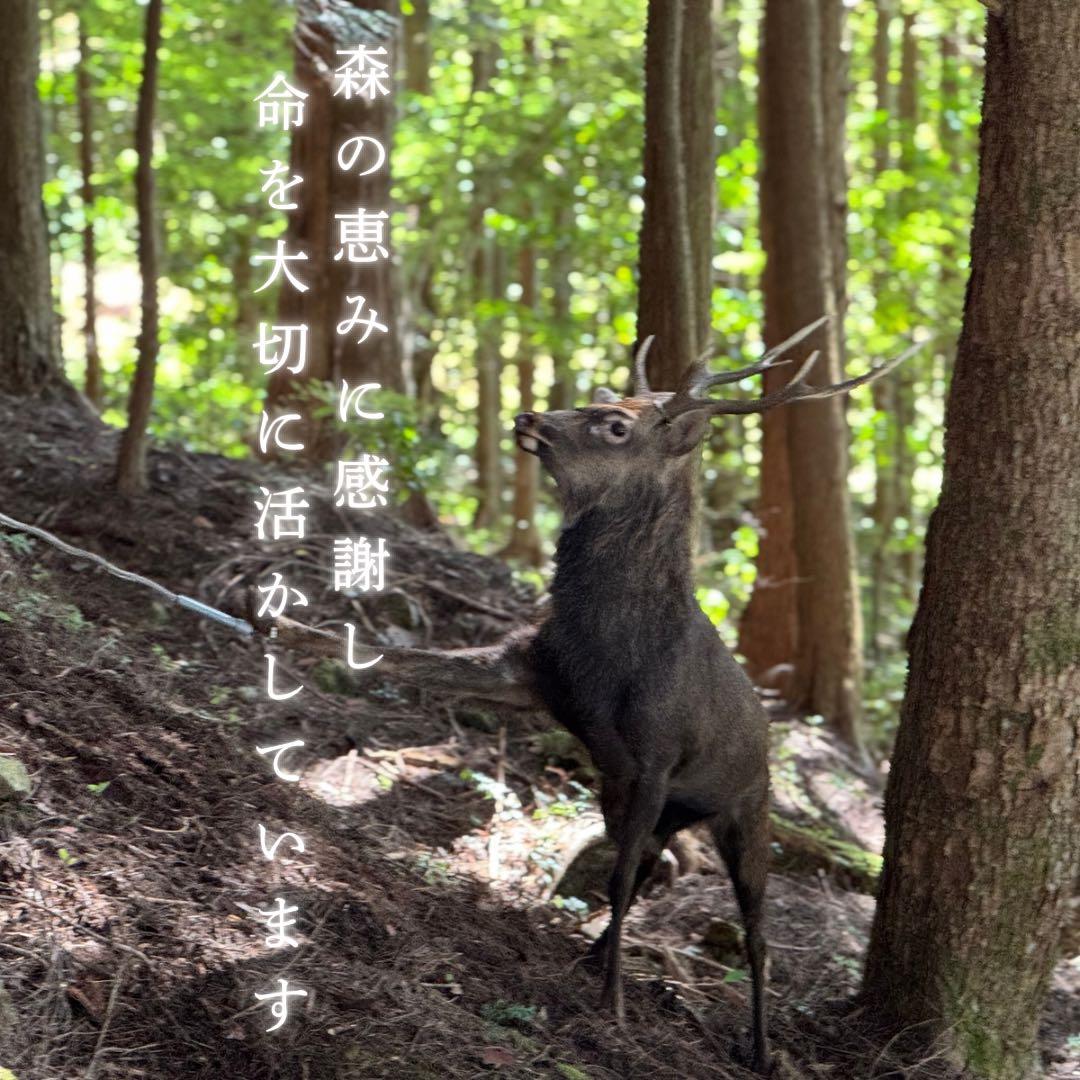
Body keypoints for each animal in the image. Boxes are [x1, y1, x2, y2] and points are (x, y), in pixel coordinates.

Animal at [264, 318, 910, 1076]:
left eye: (614, 426)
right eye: (601, 396)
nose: (529, 417)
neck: (610, 649)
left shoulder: (659, 752)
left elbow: (622, 877)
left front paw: (615, 1002)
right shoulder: (541, 683)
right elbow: (408, 660)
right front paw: (283, 626)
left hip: (746, 807)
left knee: (756, 932)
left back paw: (759, 1044)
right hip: (658, 803)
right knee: (653, 861)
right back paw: (604, 952)